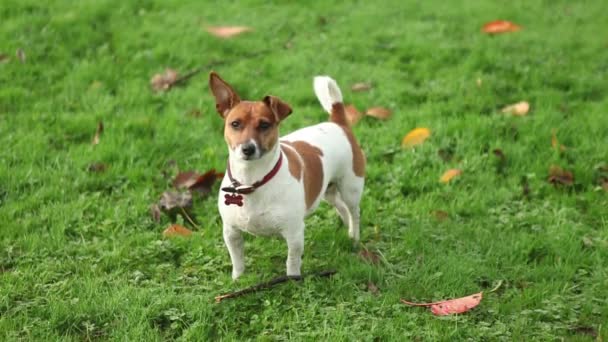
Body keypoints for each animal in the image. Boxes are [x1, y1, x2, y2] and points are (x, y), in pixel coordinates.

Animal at [209, 71, 366, 278]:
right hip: (326, 190)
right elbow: (237, 260)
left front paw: (293, 280)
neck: (251, 181)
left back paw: (354, 237)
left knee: (354, 212)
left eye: (264, 125)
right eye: (235, 124)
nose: (248, 149)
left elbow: (292, 261)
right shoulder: (231, 232)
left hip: (350, 188)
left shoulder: (294, 233)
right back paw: (347, 231)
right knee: (341, 207)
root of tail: (338, 123)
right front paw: (238, 279)